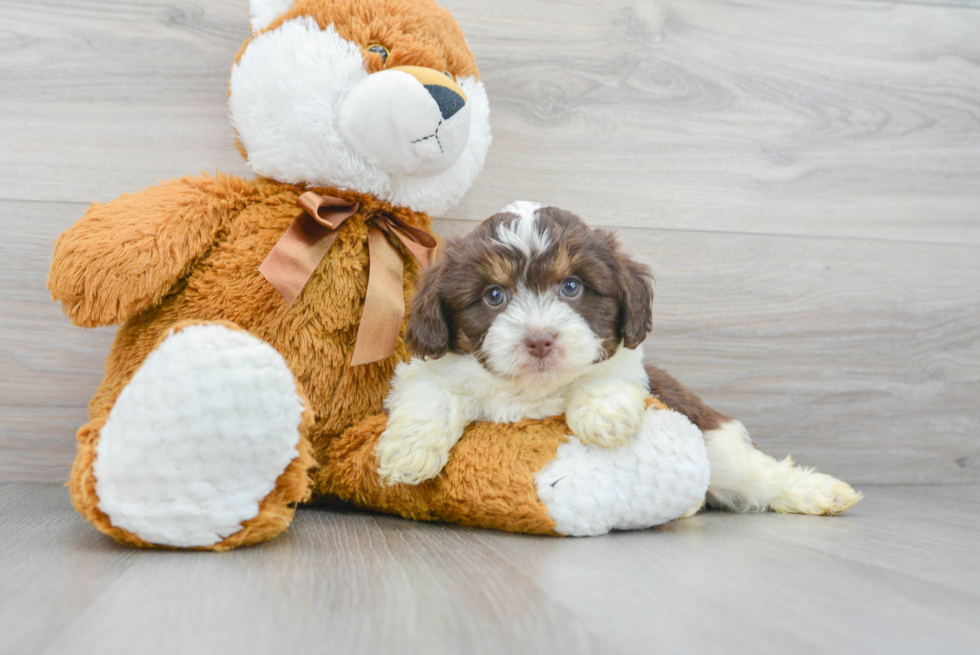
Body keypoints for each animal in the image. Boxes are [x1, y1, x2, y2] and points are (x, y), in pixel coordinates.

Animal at [378, 201, 860, 516]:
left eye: (571, 287)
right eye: (494, 296)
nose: (539, 340)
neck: (532, 390)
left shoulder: (628, 363)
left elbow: (608, 374)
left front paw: (603, 417)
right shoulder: (429, 368)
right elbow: (430, 395)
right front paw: (408, 454)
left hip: (716, 443)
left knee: (754, 473)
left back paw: (819, 492)